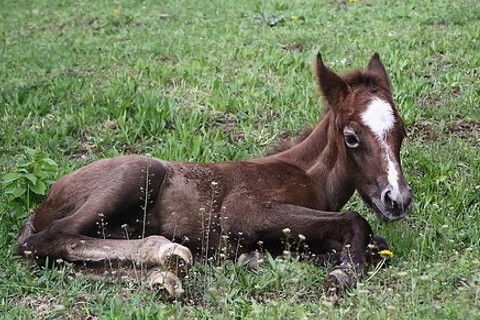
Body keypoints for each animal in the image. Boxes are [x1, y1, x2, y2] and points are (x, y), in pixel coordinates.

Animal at [15, 52, 412, 298]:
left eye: (402, 132)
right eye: (351, 137)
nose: (397, 199)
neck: (306, 175)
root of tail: (43, 203)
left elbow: (370, 241)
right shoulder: (242, 211)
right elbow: (356, 220)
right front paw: (342, 272)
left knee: (61, 259)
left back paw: (163, 276)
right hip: (140, 170)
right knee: (49, 240)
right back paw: (166, 251)